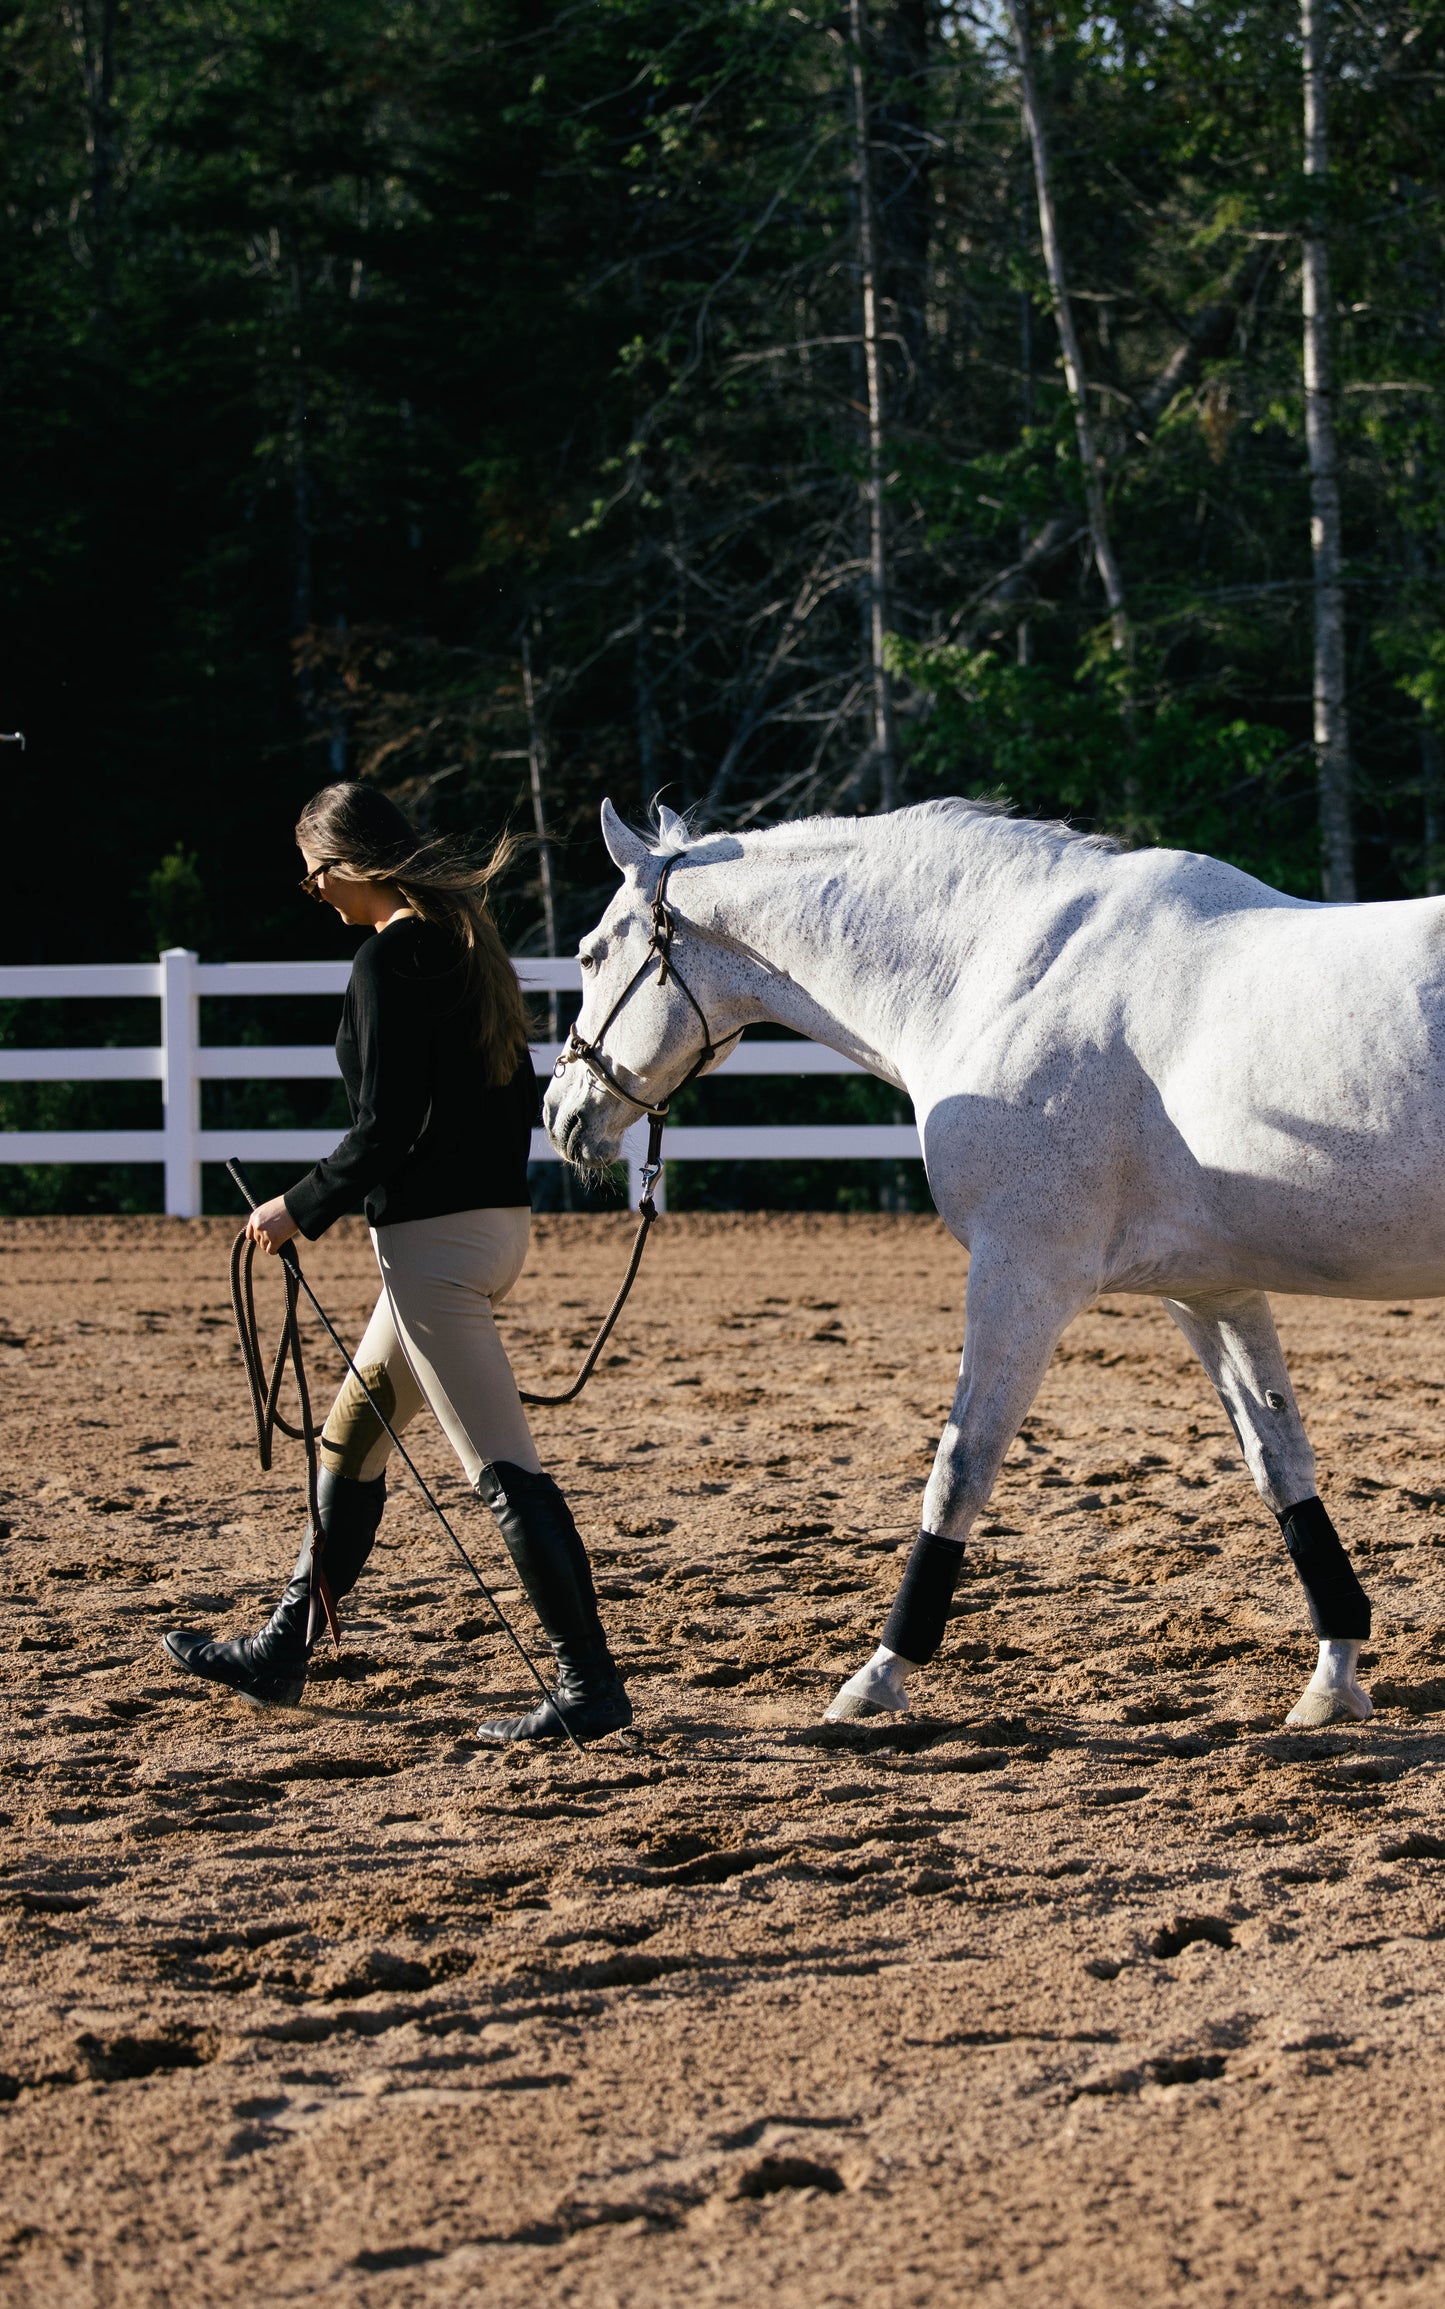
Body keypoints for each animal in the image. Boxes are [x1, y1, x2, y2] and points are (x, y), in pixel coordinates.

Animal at [544, 795, 1445, 1730]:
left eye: (590, 952)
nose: (561, 1114)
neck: (1008, 970)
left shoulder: (1020, 1275)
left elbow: (959, 1470)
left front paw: (879, 1674)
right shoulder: (1208, 1290)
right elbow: (1281, 1464)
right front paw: (1333, 1674)